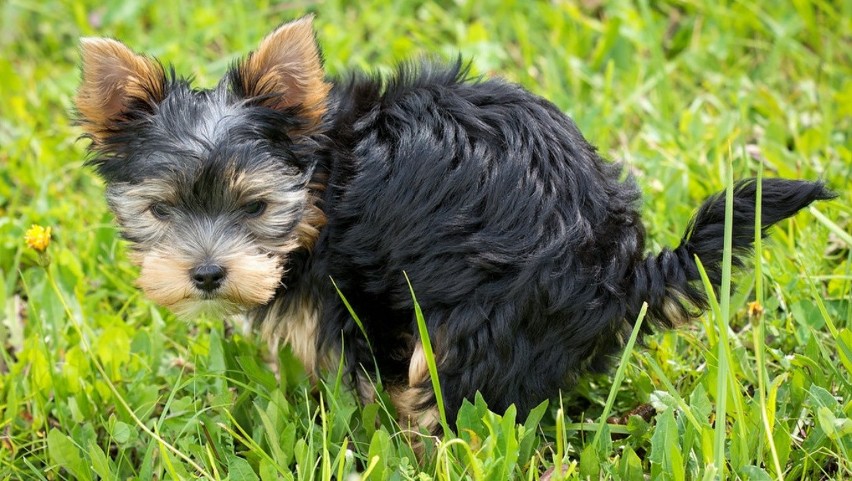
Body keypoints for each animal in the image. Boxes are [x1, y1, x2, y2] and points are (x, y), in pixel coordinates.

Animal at [76, 16, 836, 434]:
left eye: (255, 207)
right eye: (162, 210)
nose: (207, 274)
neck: (323, 180)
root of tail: (623, 268)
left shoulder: (355, 293)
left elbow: (358, 369)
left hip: (487, 313)